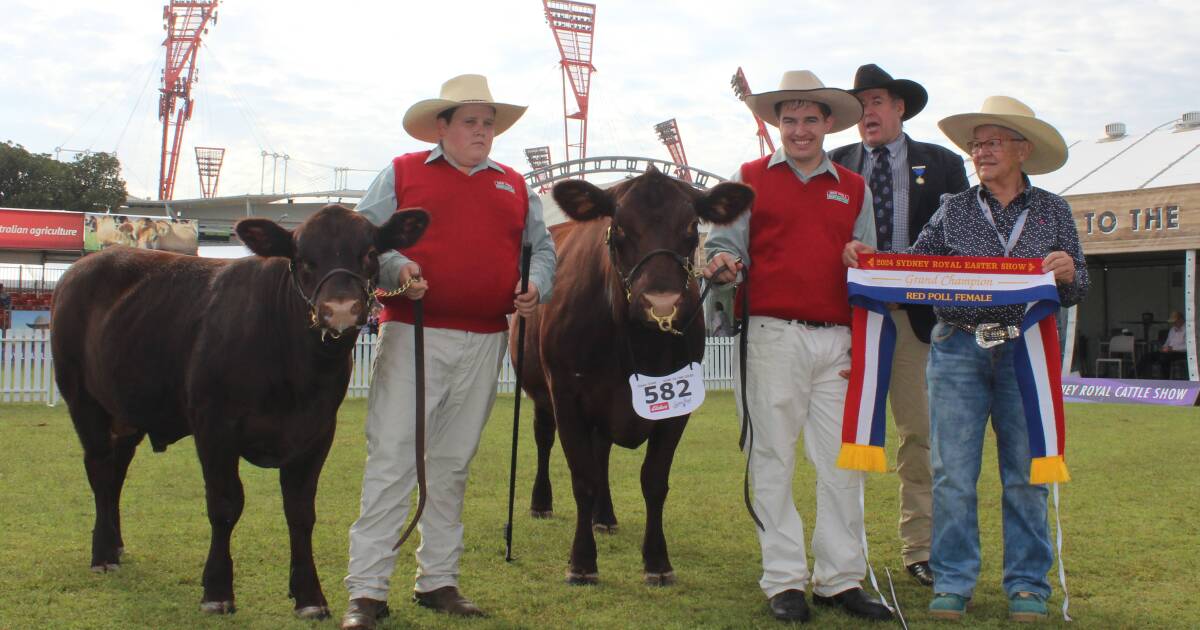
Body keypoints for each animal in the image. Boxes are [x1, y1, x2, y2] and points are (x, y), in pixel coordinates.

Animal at [51, 204, 429, 614]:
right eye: (302, 258)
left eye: (370, 254)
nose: (340, 308)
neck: (296, 373)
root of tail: (83, 265)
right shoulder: (214, 427)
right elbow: (225, 504)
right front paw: (217, 591)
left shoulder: (317, 432)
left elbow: (300, 511)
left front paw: (309, 596)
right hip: (83, 400)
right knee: (99, 470)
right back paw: (103, 554)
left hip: (126, 410)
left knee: (116, 471)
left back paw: (115, 545)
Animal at [513, 168, 748, 585]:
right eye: (618, 227)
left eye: (692, 228)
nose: (662, 305)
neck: (634, 344)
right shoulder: (566, 394)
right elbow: (582, 478)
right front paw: (582, 563)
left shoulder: (679, 404)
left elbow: (653, 480)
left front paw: (657, 561)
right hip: (541, 391)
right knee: (544, 438)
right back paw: (542, 503)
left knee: (601, 452)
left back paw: (604, 517)